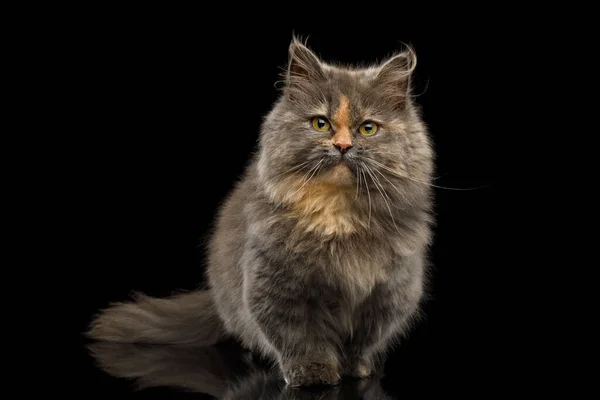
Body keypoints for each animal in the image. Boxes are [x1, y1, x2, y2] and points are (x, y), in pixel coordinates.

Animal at [88, 36, 436, 388]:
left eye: (367, 129)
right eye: (320, 124)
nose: (342, 146)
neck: (336, 212)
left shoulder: (389, 293)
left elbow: (362, 341)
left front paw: (357, 369)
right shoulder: (275, 283)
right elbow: (299, 336)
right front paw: (312, 372)